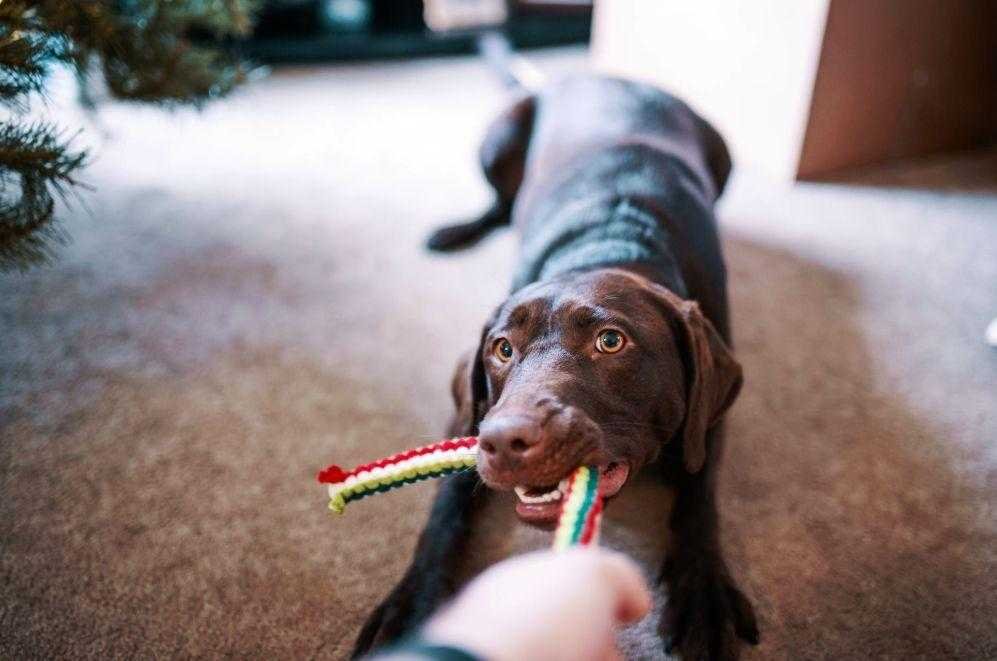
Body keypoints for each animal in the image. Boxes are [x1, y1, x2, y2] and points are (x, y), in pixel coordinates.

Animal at [354, 75, 760, 656]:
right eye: (502, 349)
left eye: (611, 341)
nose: (505, 441)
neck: (610, 244)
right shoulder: (471, 413)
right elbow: (444, 507)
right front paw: (412, 602)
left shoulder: (708, 417)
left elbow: (699, 497)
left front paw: (702, 594)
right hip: (498, 136)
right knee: (500, 205)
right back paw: (455, 230)